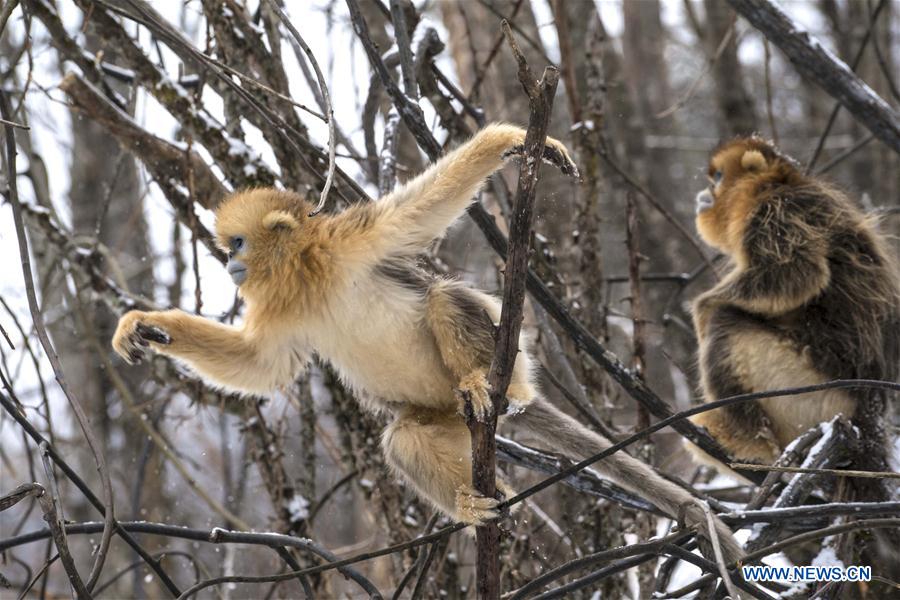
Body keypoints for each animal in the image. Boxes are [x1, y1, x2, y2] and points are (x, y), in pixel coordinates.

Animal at [112, 122, 740, 564]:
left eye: (238, 242)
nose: (229, 263)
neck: (307, 275)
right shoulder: (280, 313)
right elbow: (260, 367)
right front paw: (146, 326)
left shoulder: (353, 239)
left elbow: (424, 209)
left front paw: (511, 140)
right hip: (437, 416)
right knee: (404, 440)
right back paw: (472, 500)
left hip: (507, 358)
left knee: (442, 298)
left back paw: (491, 384)